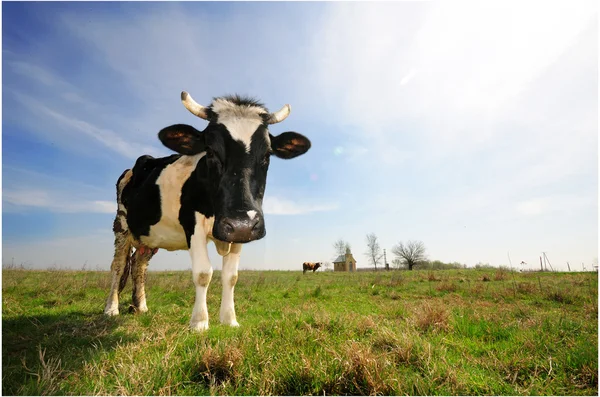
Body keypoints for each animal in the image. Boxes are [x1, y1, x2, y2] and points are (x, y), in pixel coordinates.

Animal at [103, 91, 312, 330]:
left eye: (267, 155)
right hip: (121, 225)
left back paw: (141, 306)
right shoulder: (192, 225)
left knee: (139, 265)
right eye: (210, 151)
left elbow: (231, 276)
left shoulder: (239, 233)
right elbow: (203, 273)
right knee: (118, 266)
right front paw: (200, 322)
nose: (242, 223)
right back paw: (111, 308)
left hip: (149, 237)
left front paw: (230, 319)